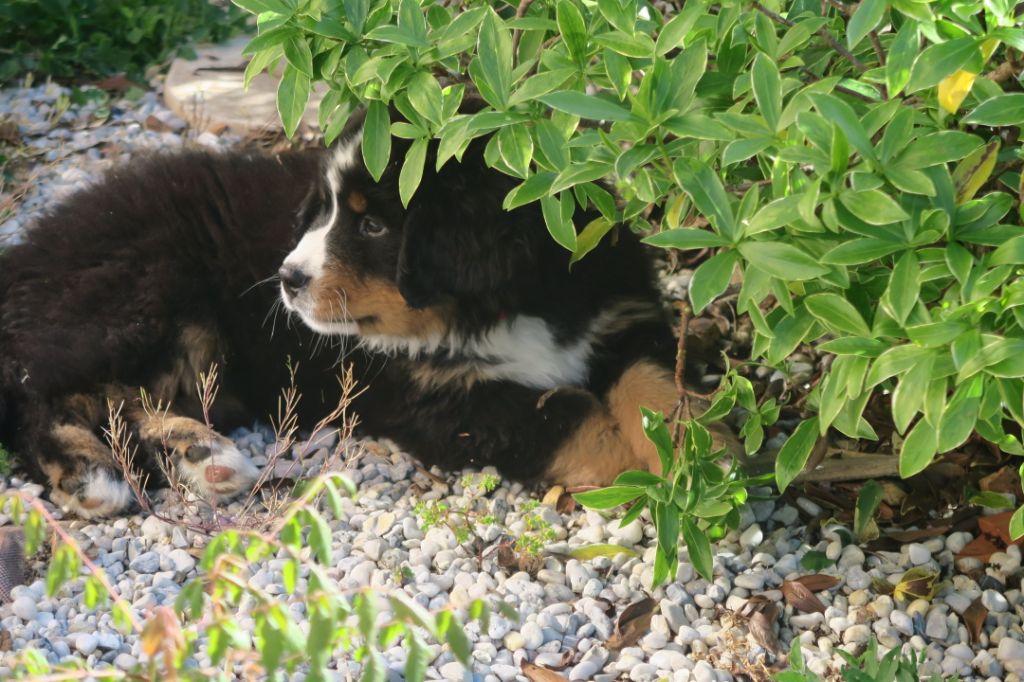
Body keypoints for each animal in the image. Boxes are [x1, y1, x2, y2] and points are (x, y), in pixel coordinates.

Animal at [0, 111, 687, 518]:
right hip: (138, 293)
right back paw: (90, 475)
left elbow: (656, 387)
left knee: (117, 399)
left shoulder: (622, 316)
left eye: (374, 226)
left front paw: (692, 453)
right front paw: (653, 485)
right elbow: (572, 418)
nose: (286, 279)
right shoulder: (437, 398)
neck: (499, 308)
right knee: (41, 394)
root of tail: (27, 255)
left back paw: (202, 456)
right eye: (324, 210)